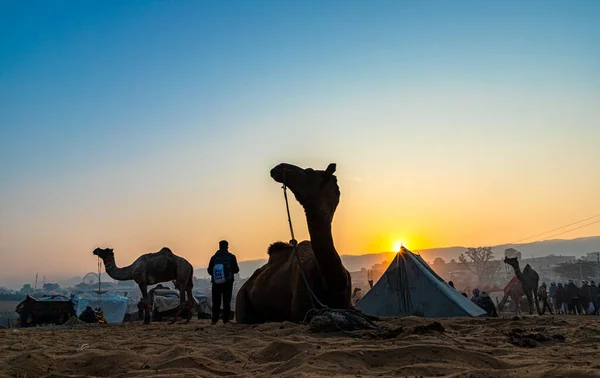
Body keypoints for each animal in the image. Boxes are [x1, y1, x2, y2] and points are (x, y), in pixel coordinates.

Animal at [236, 161, 356, 324]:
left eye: (309, 171)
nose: (279, 167)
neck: (331, 281)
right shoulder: (301, 309)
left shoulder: (349, 305)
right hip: (241, 299)